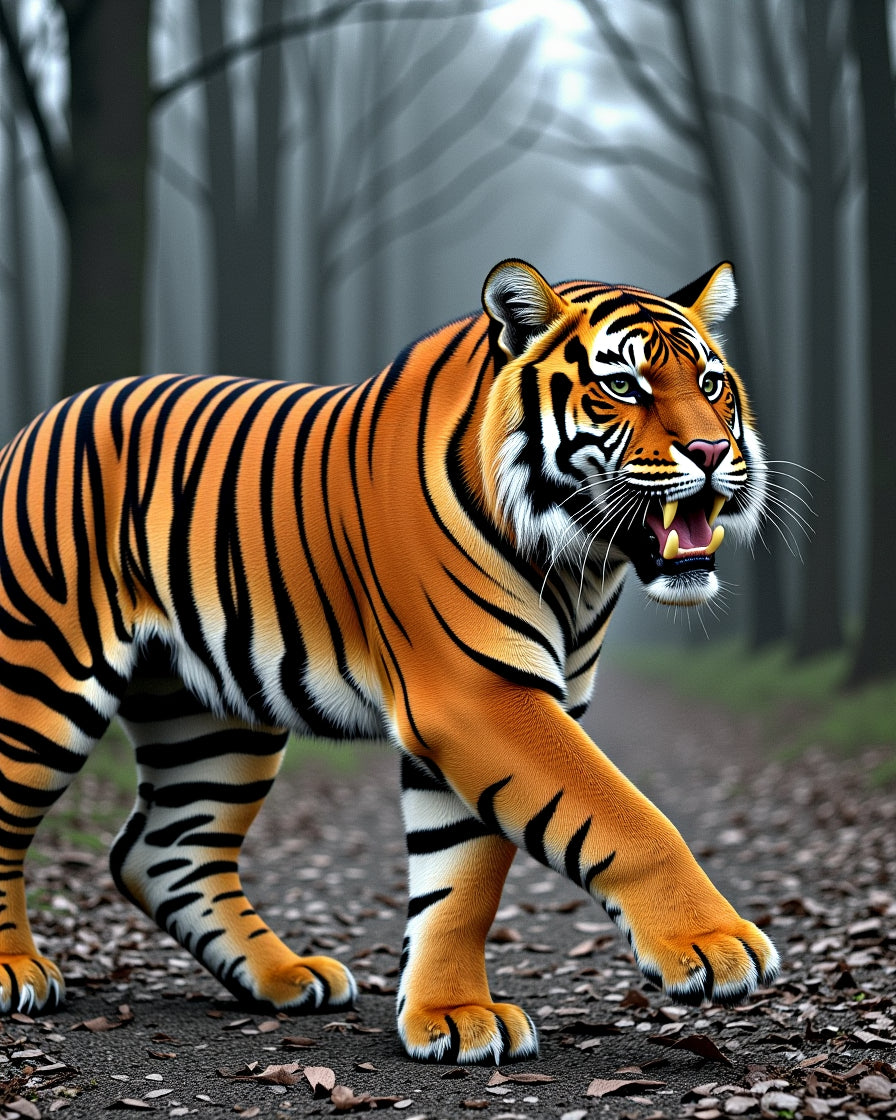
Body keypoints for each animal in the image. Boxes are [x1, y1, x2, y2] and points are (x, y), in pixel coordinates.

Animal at [0, 258, 778, 1063]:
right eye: (623, 384)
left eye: (712, 384)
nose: (714, 453)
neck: (579, 567)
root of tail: (47, 417)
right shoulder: (478, 692)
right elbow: (622, 813)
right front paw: (713, 943)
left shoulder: (490, 712)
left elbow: (463, 880)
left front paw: (452, 1013)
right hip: (40, 679)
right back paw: (17, 971)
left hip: (213, 721)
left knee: (166, 850)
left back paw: (286, 977)